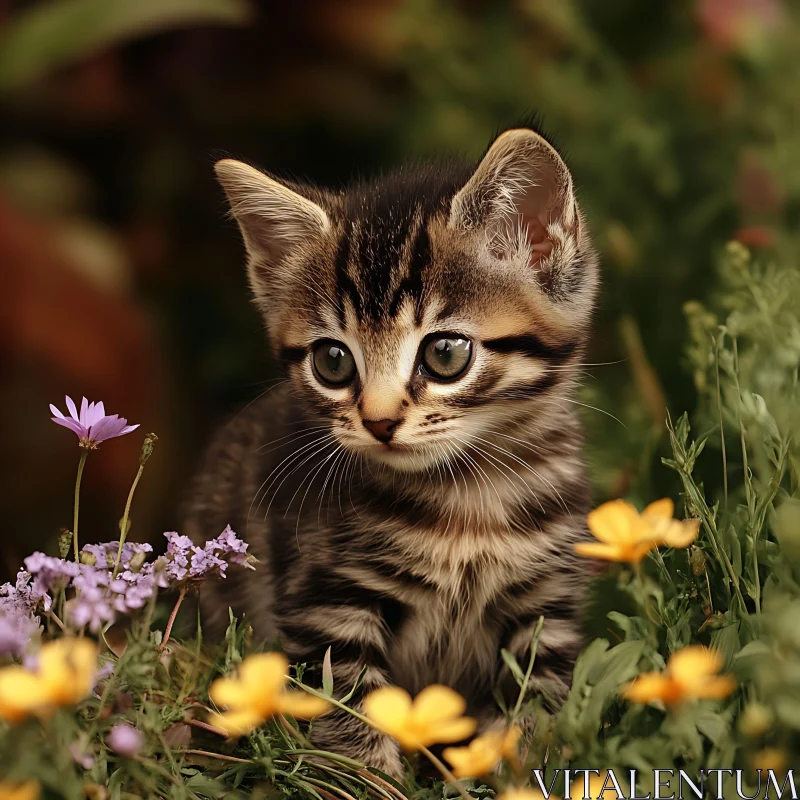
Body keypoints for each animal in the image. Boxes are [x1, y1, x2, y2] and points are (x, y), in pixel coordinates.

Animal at [184, 126, 596, 776]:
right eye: (333, 361)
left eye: (445, 354)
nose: (379, 422)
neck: (469, 497)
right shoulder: (328, 602)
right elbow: (350, 713)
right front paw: (369, 779)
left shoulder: (545, 607)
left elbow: (532, 712)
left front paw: (511, 770)